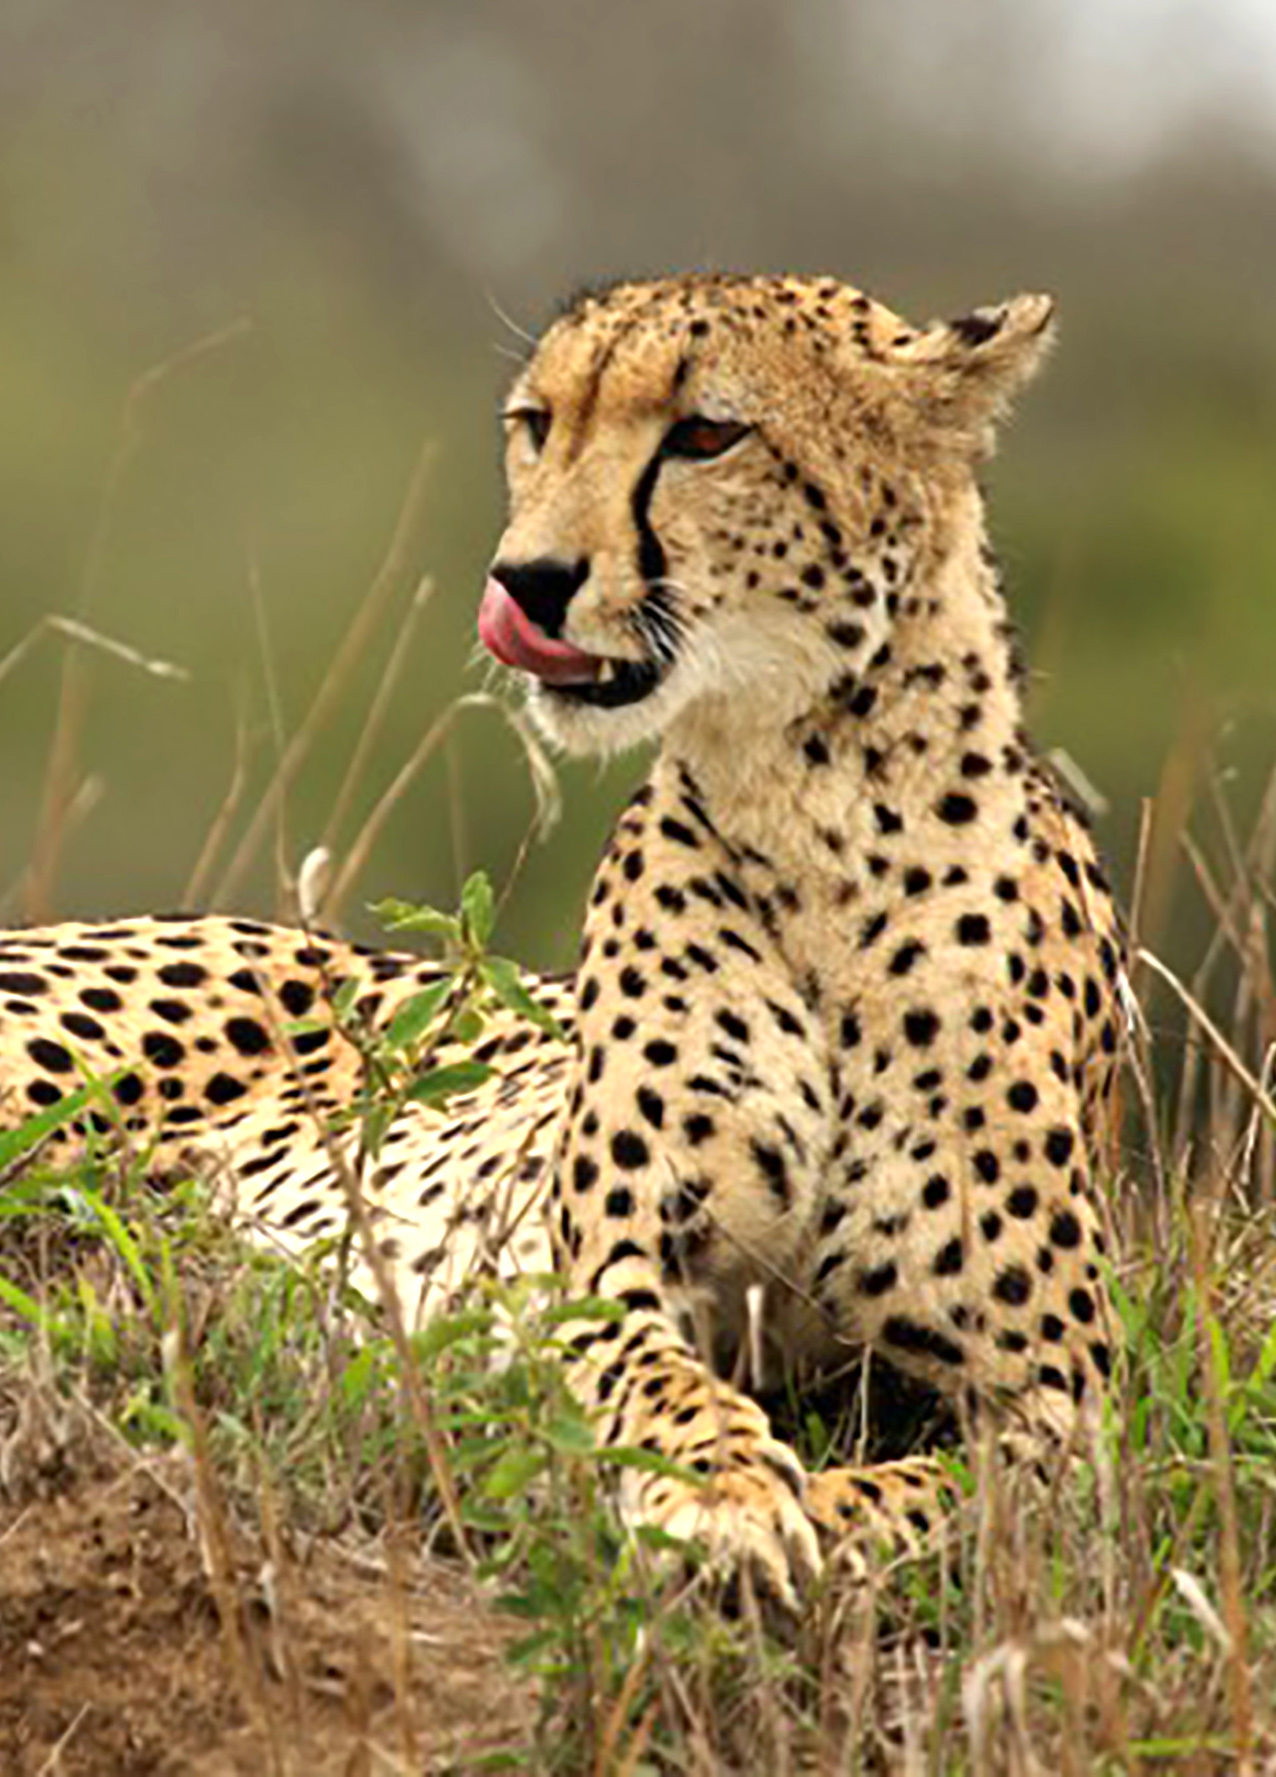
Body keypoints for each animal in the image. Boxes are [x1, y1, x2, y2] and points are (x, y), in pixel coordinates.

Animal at [0, 273, 1123, 1599]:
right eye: (538, 425)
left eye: (705, 434)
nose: (526, 579)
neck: (821, 807)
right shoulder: (599, 1273)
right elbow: (665, 1386)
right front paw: (723, 1495)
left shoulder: (1059, 1402)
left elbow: (948, 1501)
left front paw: (806, 1511)